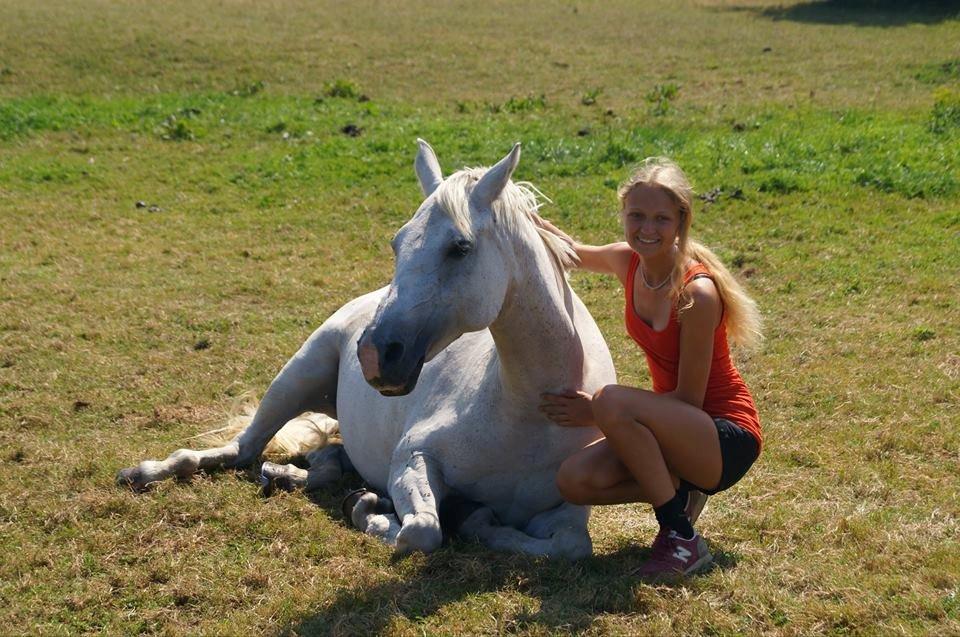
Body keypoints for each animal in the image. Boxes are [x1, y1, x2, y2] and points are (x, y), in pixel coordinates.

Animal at [120, 140, 616, 556]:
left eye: (460, 247)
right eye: (397, 243)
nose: (374, 355)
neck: (528, 413)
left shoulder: (567, 512)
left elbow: (570, 545)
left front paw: (470, 519)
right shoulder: (412, 458)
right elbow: (422, 531)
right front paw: (371, 513)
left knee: (325, 459)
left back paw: (289, 475)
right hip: (296, 376)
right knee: (240, 450)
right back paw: (146, 472)